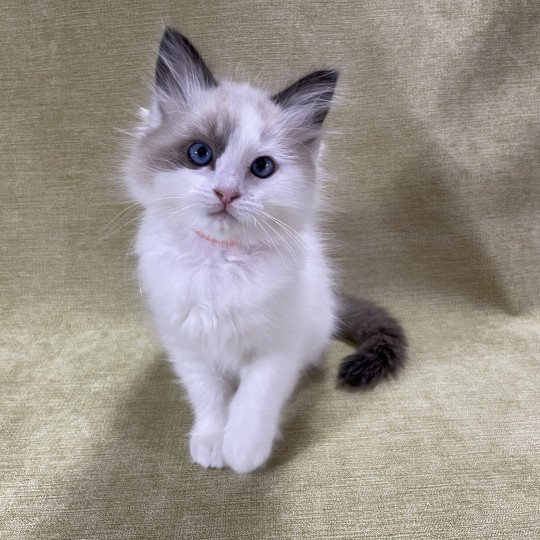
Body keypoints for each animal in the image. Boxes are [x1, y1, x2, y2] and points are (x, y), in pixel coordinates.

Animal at [125, 28, 404, 472]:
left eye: (261, 168)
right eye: (200, 153)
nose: (226, 192)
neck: (220, 263)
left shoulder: (278, 343)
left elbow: (254, 398)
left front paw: (242, 450)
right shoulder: (188, 343)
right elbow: (210, 397)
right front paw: (211, 442)